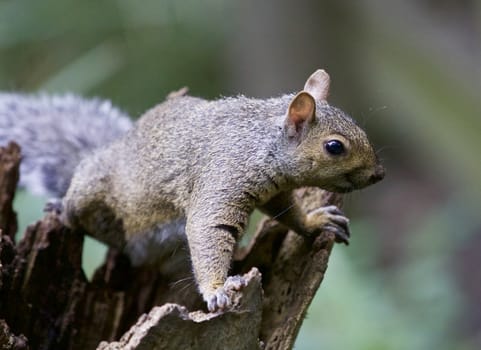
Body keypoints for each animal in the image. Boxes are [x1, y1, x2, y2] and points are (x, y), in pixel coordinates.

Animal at [0, 69, 382, 312]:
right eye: (334, 147)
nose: (379, 174)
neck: (261, 143)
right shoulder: (224, 175)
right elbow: (207, 227)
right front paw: (217, 290)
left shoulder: (273, 191)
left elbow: (286, 211)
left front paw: (315, 221)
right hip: (92, 191)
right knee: (77, 210)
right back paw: (60, 207)